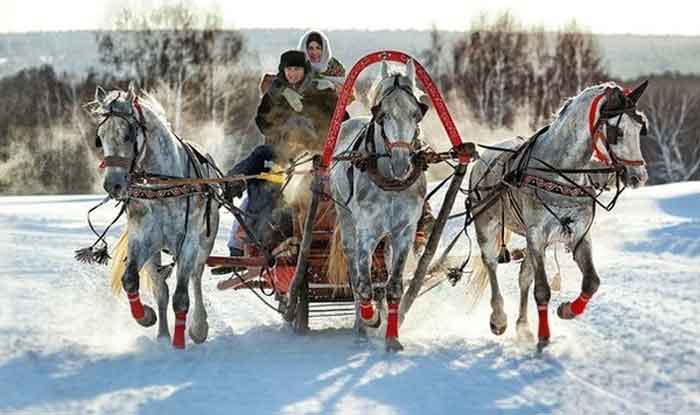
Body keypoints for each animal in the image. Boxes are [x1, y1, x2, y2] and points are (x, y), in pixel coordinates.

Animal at [91, 84, 220, 352]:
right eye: (100, 138)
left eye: (128, 135)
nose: (113, 185)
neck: (163, 184)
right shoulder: (143, 239)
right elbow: (131, 280)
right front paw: (146, 317)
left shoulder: (188, 242)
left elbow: (182, 297)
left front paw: (180, 343)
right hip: (155, 252)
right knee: (161, 289)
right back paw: (162, 335)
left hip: (204, 242)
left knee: (195, 278)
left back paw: (198, 326)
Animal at [330, 61, 430, 354]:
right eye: (382, 115)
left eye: (416, 114)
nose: (401, 163)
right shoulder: (366, 232)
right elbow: (363, 284)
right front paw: (371, 319)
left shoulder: (404, 232)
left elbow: (393, 285)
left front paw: (392, 337)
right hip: (347, 223)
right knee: (354, 273)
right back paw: (361, 326)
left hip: (387, 239)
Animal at [464, 81, 652, 352]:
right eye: (617, 131)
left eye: (640, 127)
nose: (639, 177)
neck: (559, 171)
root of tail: (482, 161)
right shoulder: (537, 234)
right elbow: (542, 290)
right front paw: (544, 337)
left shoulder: (579, 234)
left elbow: (591, 282)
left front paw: (567, 310)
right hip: (487, 225)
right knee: (491, 264)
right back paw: (499, 318)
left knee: (524, 277)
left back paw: (523, 327)